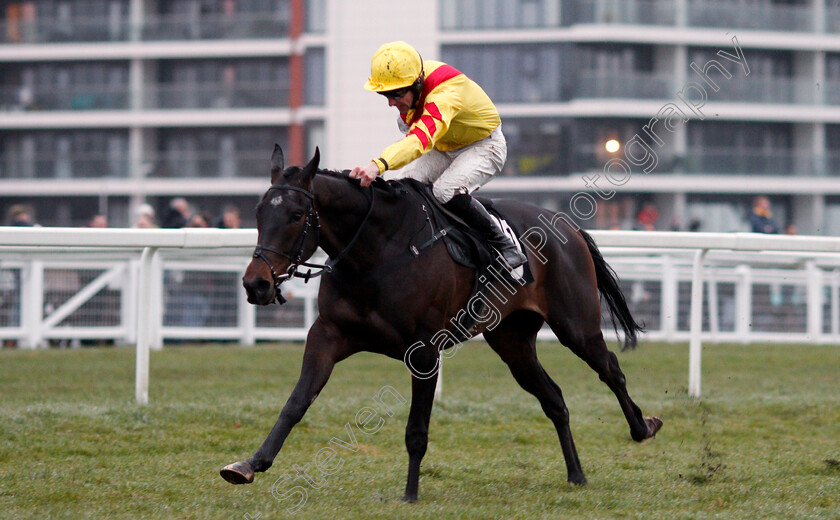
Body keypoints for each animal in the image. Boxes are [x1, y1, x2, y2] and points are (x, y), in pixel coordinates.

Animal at [221, 144, 664, 502]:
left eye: (297, 215)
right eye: (259, 212)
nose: (256, 284)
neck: (377, 250)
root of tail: (566, 224)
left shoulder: (424, 351)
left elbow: (416, 429)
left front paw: (410, 493)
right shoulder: (328, 335)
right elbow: (296, 402)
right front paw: (250, 464)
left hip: (576, 325)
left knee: (610, 369)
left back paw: (642, 427)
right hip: (512, 341)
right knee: (554, 398)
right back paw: (576, 474)